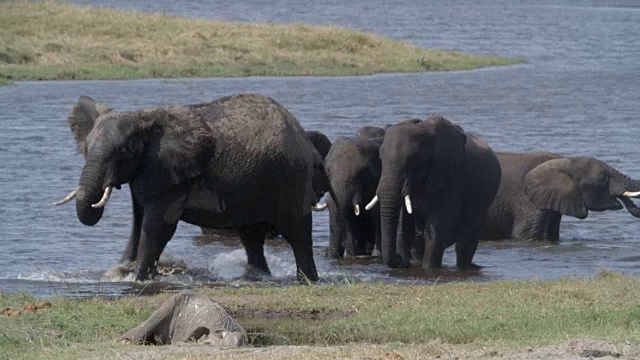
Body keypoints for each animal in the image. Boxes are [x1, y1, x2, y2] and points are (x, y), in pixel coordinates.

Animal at [56, 94, 336, 282]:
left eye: (124, 150)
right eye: (86, 147)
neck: (144, 119)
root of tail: (305, 141)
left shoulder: (171, 176)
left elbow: (156, 227)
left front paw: (138, 280)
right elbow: (137, 226)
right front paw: (123, 272)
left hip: (291, 177)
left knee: (297, 232)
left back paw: (308, 280)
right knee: (251, 236)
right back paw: (258, 277)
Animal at [368, 116, 502, 268]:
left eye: (414, 159)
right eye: (381, 158)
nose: (402, 260)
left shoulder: (450, 178)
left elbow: (436, 233)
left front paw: (428, 268)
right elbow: (406, 230)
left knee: (465, 245)